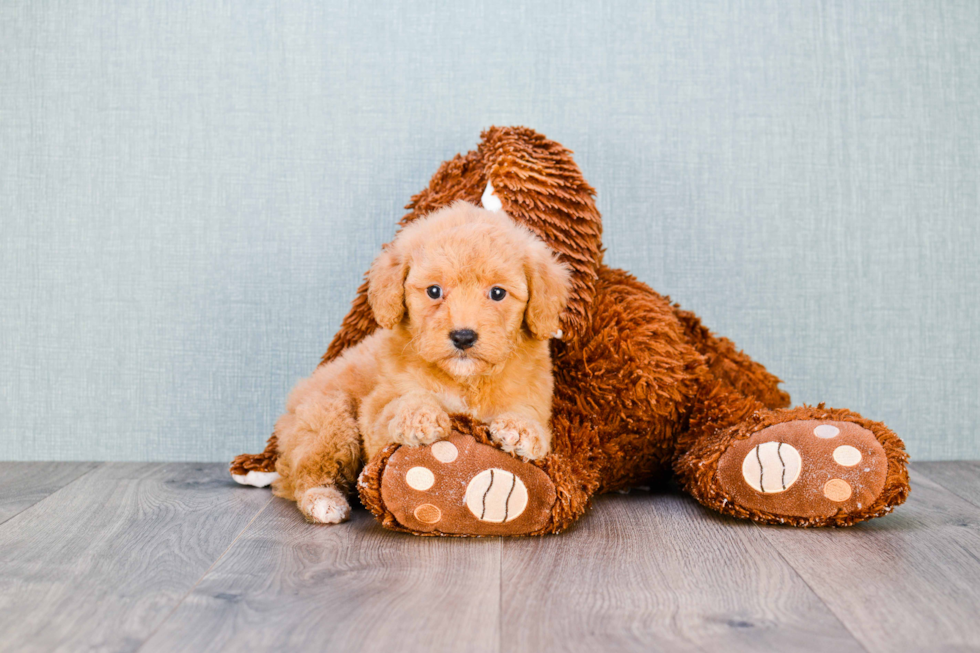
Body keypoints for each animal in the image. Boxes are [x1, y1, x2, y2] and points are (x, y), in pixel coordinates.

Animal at [272, 201, 572, 524]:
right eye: (434, 291)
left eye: (497, 293)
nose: (463, 336)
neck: (465, 379)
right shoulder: (376, 413)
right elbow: (399, 404)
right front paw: (420, 416)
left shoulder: (534, 396)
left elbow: (529, 415)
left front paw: (520, 430)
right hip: (327, 420)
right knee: (306, 473)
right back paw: (323, 501)